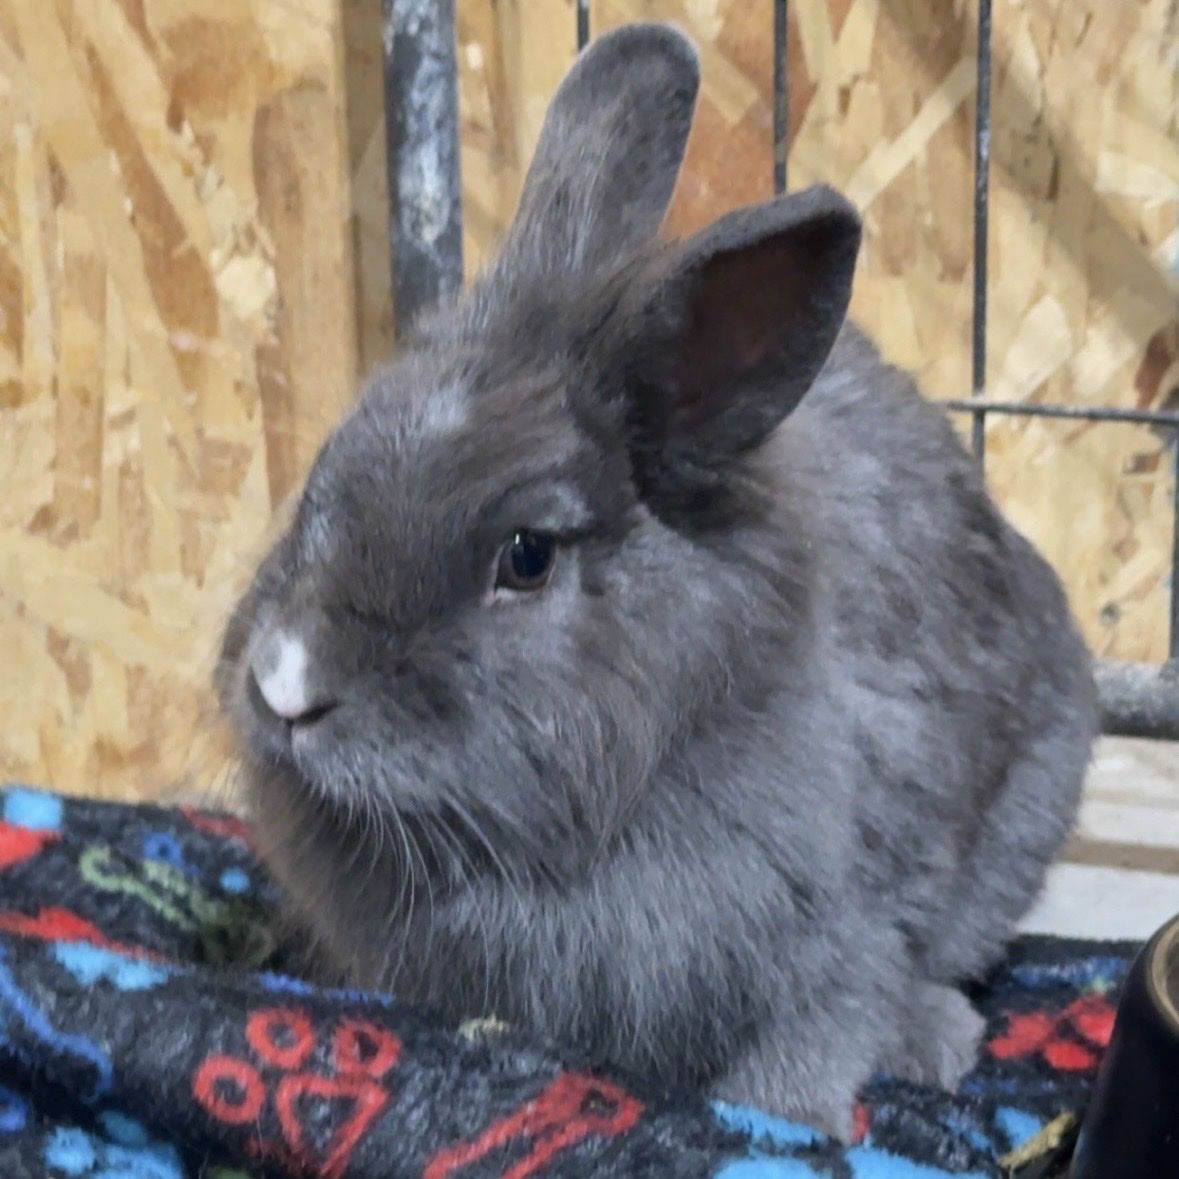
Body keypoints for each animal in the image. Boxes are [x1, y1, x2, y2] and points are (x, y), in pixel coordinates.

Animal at [215, 23, 1097, 1140]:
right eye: (330, 464)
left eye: (527, 555)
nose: (286, 684)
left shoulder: (845, 919)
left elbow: (826, 1018)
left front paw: (781, 1118)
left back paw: (935, 1039)